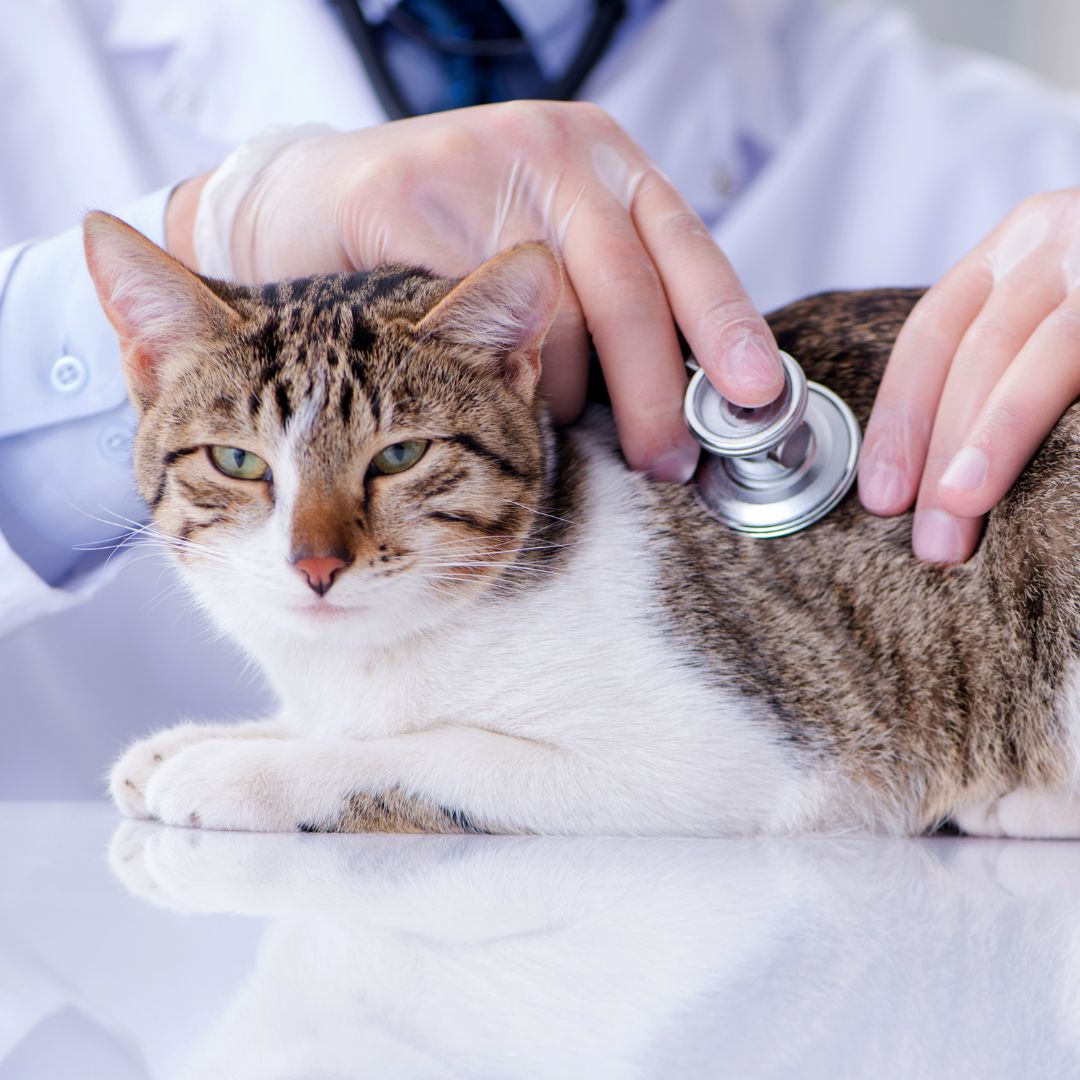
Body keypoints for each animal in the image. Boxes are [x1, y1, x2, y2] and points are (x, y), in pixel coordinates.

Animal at [82, 208, 1080, 833]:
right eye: (238, 462)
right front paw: (217, 738)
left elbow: (426, 753)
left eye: (400, 457)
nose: (315, 564)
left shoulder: (732, 758)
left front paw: (243, 769)